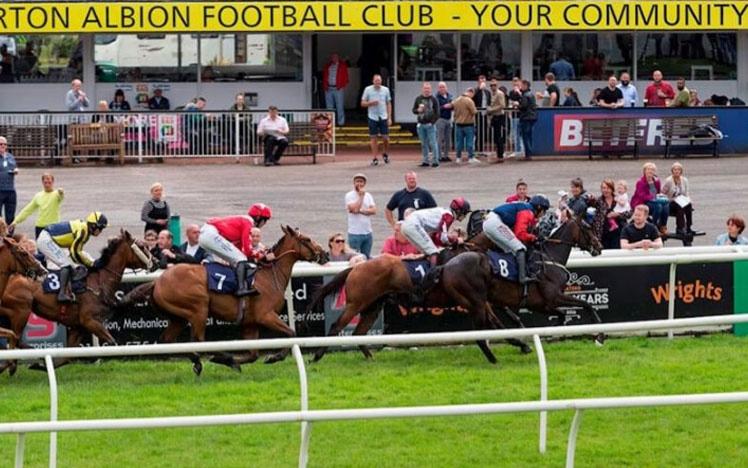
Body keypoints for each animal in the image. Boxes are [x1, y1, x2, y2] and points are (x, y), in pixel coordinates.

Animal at [0, 229, 154, 374]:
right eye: (142, 246)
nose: (156, 262)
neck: (98, 282)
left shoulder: (78, 327)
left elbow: (67, 357)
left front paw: (40, 365)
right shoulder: (90, 321)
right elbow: (112, 342)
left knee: (15, 338)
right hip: (21, 310)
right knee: (16, 337)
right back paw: (13, 363)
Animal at [118, 225, 326, 374]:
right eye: (307, 239)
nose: (324, 254)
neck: (268, 276)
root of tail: (158, 281)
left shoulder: (250, 323)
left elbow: (253, 354)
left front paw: (244, 361)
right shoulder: (266, 315)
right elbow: (291, 333)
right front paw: (273, 357)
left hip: (178, 317)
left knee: (168, 341)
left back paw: (207, 361)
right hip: (198, 309)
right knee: (200, 342)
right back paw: (220, 358)